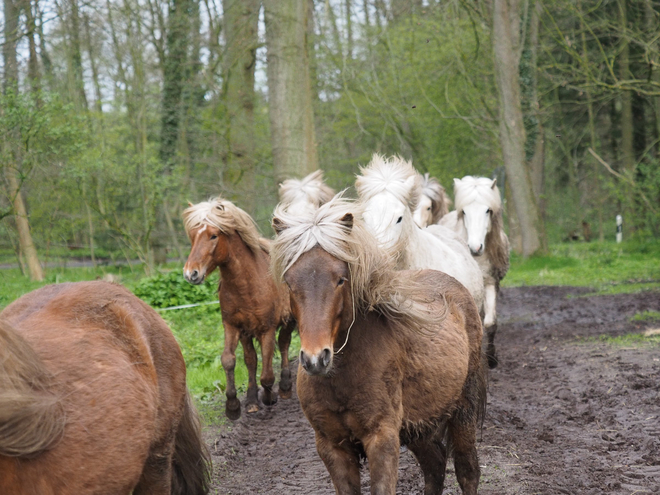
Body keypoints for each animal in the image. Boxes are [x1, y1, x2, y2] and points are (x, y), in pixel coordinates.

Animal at [180, 199, 294, 422]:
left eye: (213, 235)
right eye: (193, 235)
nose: (191, 273)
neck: (247, 284)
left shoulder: (266, 330)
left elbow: (267, 373)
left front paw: (269, 397)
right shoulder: (234, 326)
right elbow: (230, 360)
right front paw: (235, 405)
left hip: (290, 321)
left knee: (284, 344)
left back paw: (285, 387)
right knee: (253, 359)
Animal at [270, 196, 488, 494]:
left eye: (340, 279)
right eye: (290, 282)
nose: (316, 359)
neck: (342, 376)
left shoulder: (382, 439)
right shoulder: (332, 446)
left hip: (463, 409)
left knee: (467, 470)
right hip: (418, 426)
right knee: (435, 464)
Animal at [440, 177, 512, 368]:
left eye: (488, 210)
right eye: (464, 212)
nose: (475, 247)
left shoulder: (490, 282)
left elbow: (490, 323)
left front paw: (492, 359)